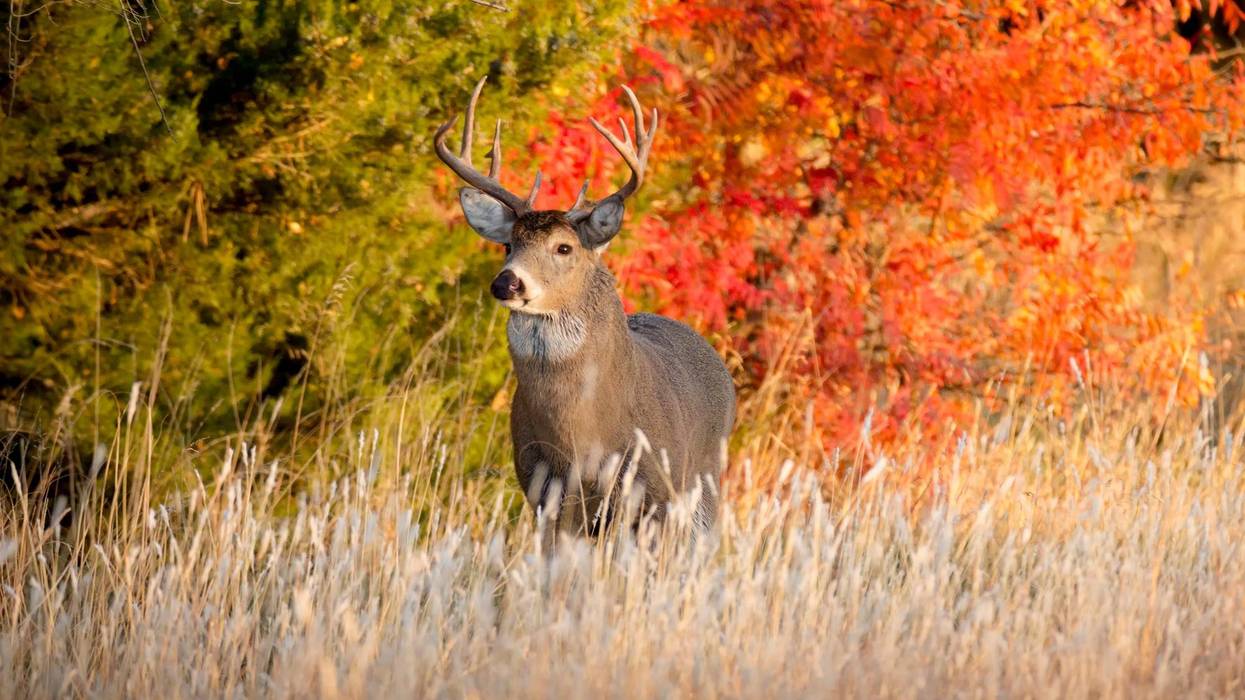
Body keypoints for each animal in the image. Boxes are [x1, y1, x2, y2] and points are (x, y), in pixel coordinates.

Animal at [433, 76, 735, 545]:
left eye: (564, 247)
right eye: (508, 244)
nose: (507, 282)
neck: (582, 436)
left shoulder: (652, 492)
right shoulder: (546, 492)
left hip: (703, 484)